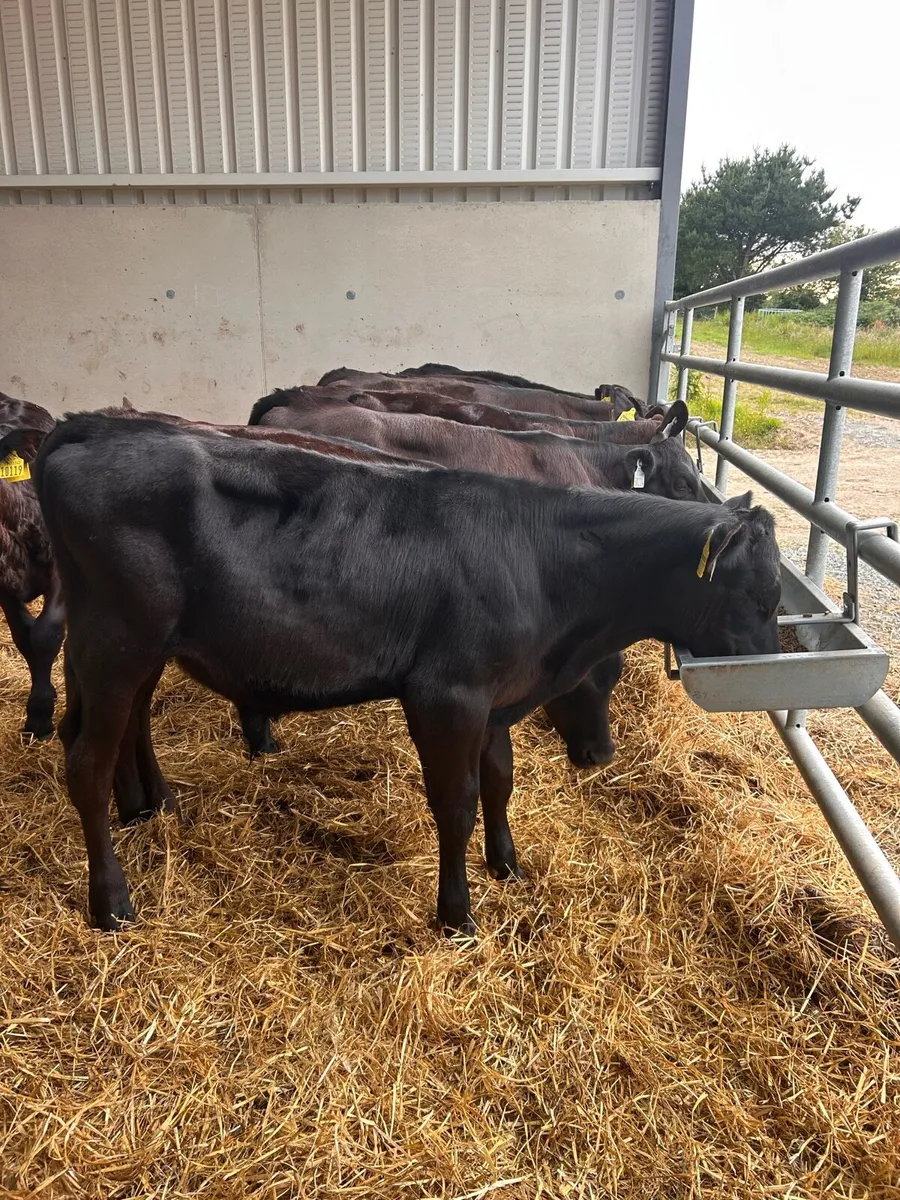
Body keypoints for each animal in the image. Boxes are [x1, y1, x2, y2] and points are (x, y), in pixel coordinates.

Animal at [33, 413, 780, 934]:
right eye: (759, 595)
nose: (600, 756)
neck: (542, 561)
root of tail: (90, 429)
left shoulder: (495, 696)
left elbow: (500, 783)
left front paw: (508, 865)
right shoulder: (446, 695)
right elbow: (457, 803)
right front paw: (457, 916)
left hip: (140, 647)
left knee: (129, 726)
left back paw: (152, 805)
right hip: (117, 639)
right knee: (85, 761)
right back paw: (112, 901)